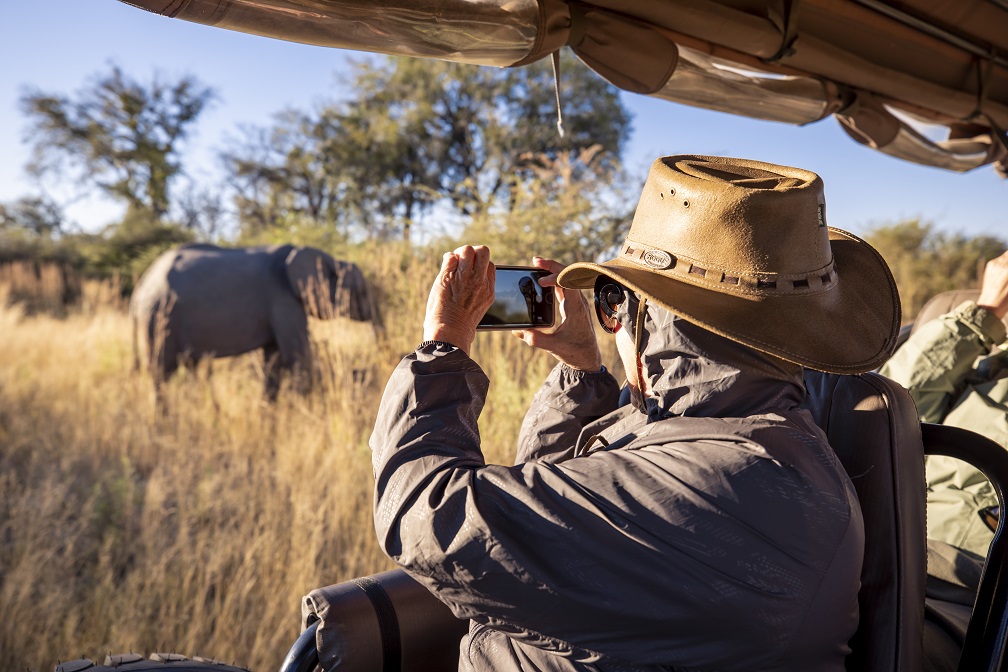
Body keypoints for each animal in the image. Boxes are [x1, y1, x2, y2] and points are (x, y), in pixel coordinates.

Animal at [130, 241, 374, 398]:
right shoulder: (282, 298)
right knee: (160, 373)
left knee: (189, 368)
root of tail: (139, 289)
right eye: (361, 291)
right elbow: (296, 357)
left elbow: (274, 360)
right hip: (157, 317)